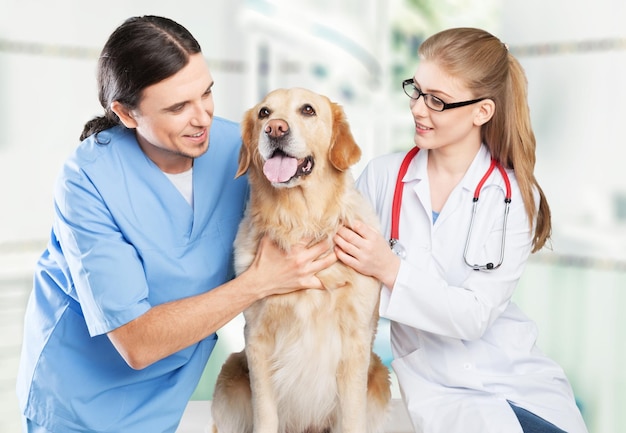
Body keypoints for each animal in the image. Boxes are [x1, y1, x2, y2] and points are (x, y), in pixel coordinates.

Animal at [212, 88, 392, 432]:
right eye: (264, 113)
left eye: (307, 110)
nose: (275, 129)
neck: (300, 221)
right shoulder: (257, 338)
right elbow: (265, 414)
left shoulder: (356, 341)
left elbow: (352, 417)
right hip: (230, 372)